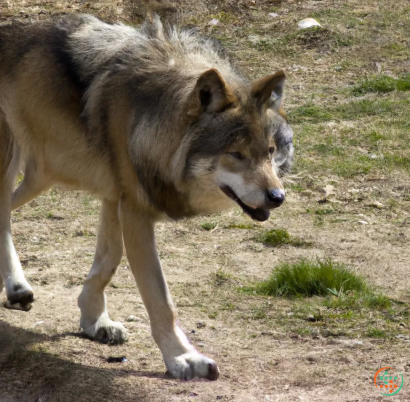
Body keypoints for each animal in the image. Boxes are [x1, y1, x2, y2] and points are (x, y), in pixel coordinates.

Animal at [0, 13, 294, 380]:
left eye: (269, 152)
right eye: (236, 154)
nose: (277, 196)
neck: (154, 120)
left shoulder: (116, 196)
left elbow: (108, 262)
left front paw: (95, 321)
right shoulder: (135, 210)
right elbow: (160, 299)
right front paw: (183, 357)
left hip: (41, 177)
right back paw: (16, 287)